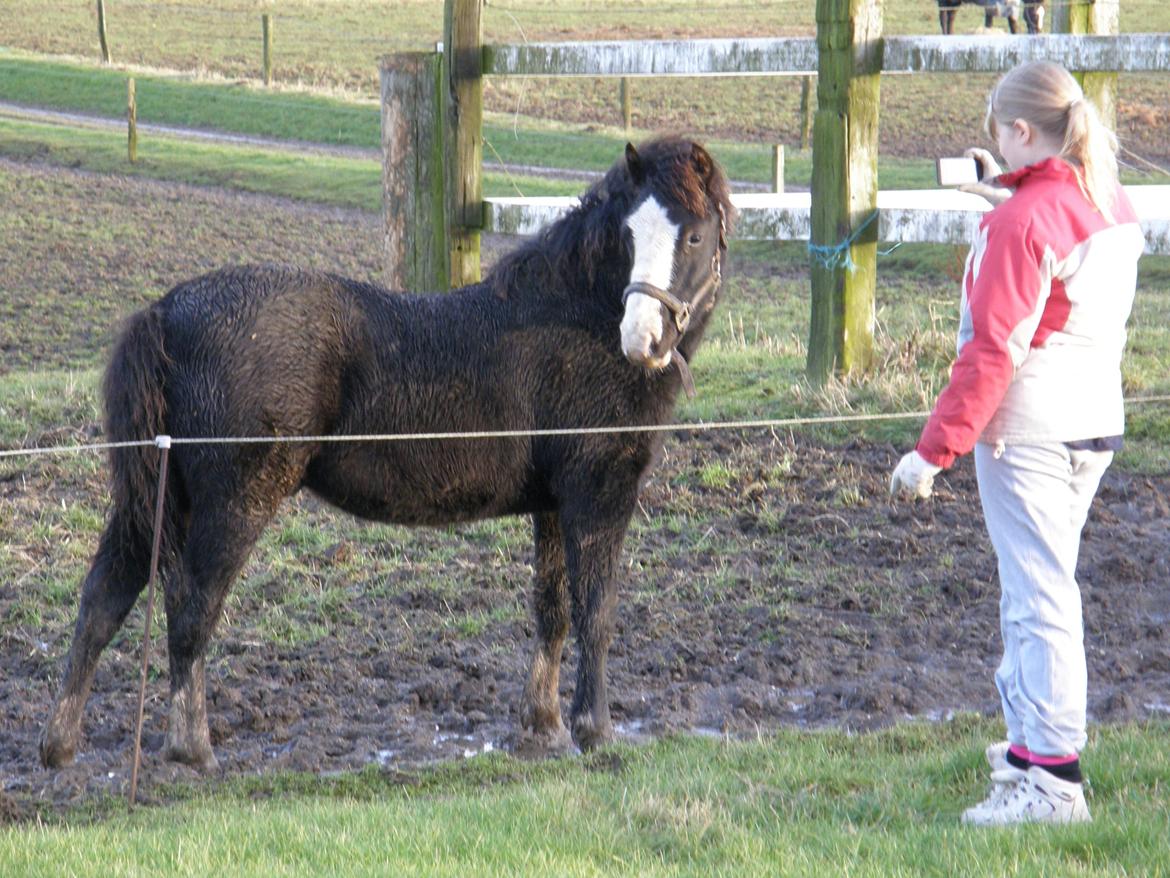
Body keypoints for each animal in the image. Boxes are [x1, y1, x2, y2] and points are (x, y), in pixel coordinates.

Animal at [41, 135, 734, 767]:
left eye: (694, 236)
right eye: (629, 234)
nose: (642, 342)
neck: (576, 324)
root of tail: (164, 311)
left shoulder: (554, 504)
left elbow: (552, 609)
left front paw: (543, 728)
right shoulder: (599, 492)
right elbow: (597, 611)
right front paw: (595, 732)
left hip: (162, 497)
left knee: (104, 596)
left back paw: (60, 746)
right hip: (232, 502)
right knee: (190, 609)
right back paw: (192, 750)